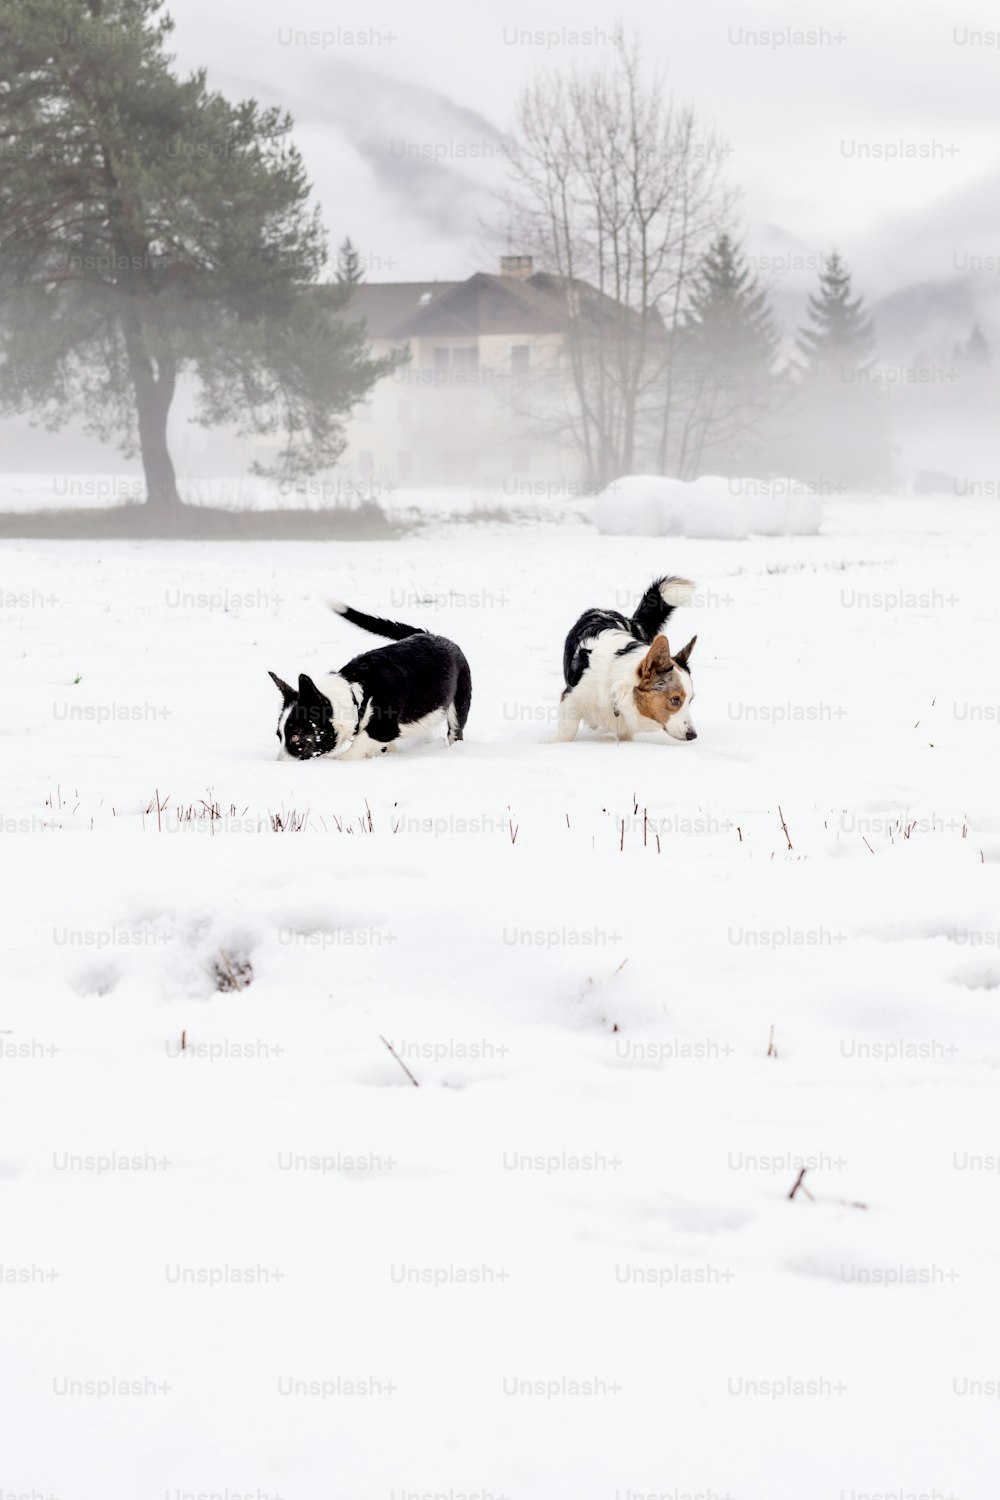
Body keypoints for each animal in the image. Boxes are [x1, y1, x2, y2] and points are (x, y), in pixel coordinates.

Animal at [265, 597, 470, 762]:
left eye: (296, 737)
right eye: (279, 736)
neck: (356, 694)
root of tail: (431, 635)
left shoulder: (384, 728)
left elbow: (358, 744)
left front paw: (340, 760)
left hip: (458, 705)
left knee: (455, 731)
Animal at [560, 573, 701, 744]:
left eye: (691, 700)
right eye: (675, 699)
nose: (693, 735)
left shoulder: (625, 725)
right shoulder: (570, 698)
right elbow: (567, 731)